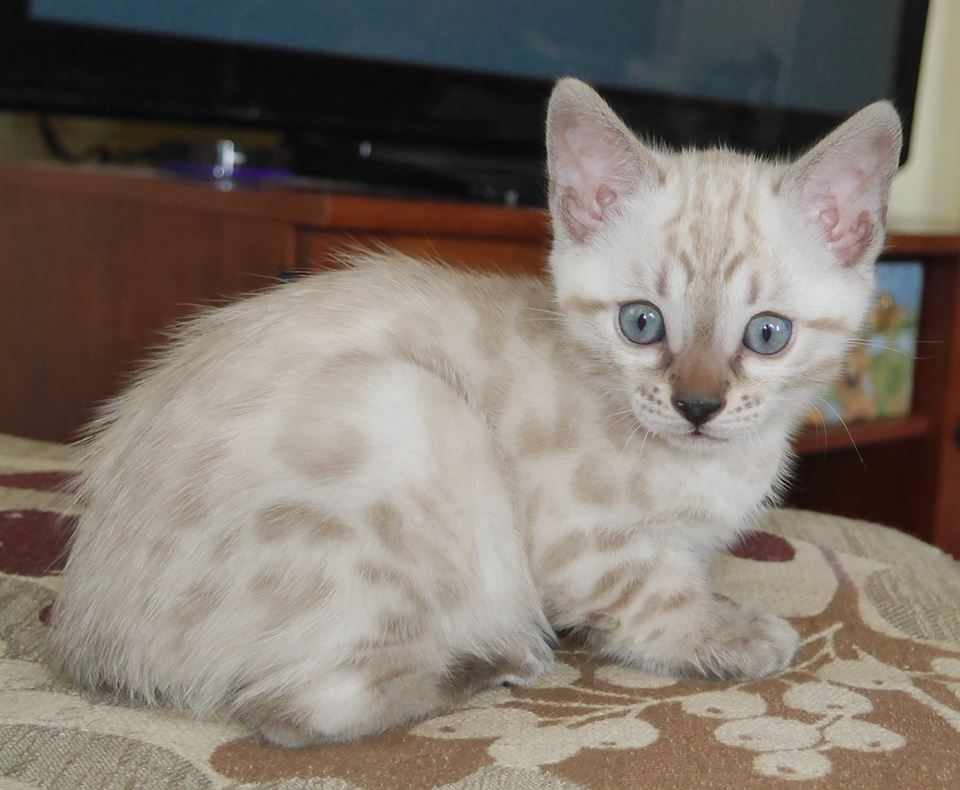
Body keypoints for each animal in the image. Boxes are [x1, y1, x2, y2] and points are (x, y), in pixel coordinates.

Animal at [48, 80, 904, 748]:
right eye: (641, 323)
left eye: (767, 335)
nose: (697, 405)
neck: (709, 463)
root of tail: (91, 633)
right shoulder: (580, 541)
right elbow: (653, 601)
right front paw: (731, 633)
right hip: (416, 422)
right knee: (295, 710)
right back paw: (504, 657)